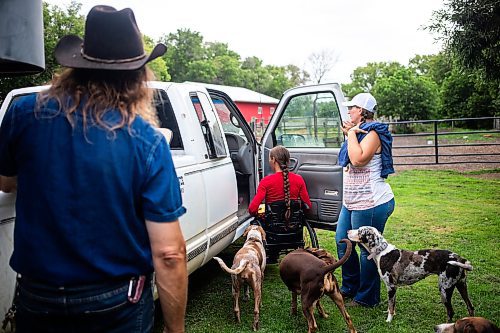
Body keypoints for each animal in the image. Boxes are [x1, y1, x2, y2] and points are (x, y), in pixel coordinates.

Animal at [346, 226, 474, 322]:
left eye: (359, 230)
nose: (347, 231)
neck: (382, 252)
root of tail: (459, 258)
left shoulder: (391, 286)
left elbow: (391, 306)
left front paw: (388, 321)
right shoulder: (394, 288)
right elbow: (391, 305)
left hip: (444, 290)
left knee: (450, 312)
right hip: (461, 286)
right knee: (470, 307)